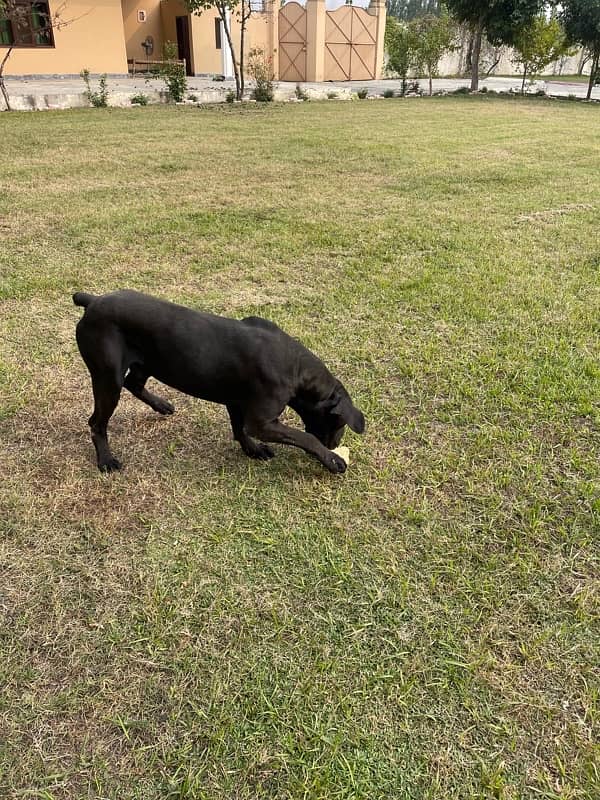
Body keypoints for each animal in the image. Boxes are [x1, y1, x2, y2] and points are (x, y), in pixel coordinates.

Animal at [72, 290, 364, 472]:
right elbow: (305, 437)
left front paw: (252, 450)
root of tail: (92, 301)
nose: (334, 445)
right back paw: (106, 460)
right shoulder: (261, 422)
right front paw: (331, 460)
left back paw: (162, 405)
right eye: (340, 423)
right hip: (108, 378)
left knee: (134, 384)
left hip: (149, 362)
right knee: (97, 422)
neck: (296, 367)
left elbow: (238, 428)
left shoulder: (237, 401)